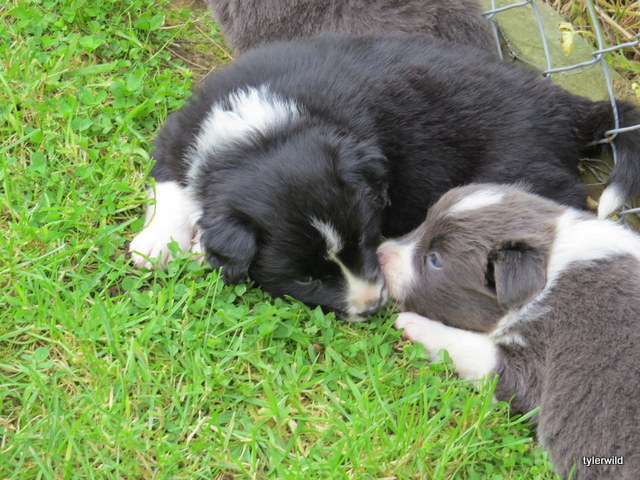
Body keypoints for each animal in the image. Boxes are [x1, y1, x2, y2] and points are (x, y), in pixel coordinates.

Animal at [129, 34, 640, 321]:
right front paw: (158, 242)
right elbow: (170, 180)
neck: (265, 129)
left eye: (365, 241)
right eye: (306, 279)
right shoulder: (184, 126)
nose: (372, 307)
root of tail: (566, 108)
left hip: (524, 168)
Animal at [378, 183, 640, 479]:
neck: (553, 270)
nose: (379, 254)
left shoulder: (536, 364)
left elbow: (475, 351)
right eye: (424, 221)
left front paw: (414, 325)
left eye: (435, 260)